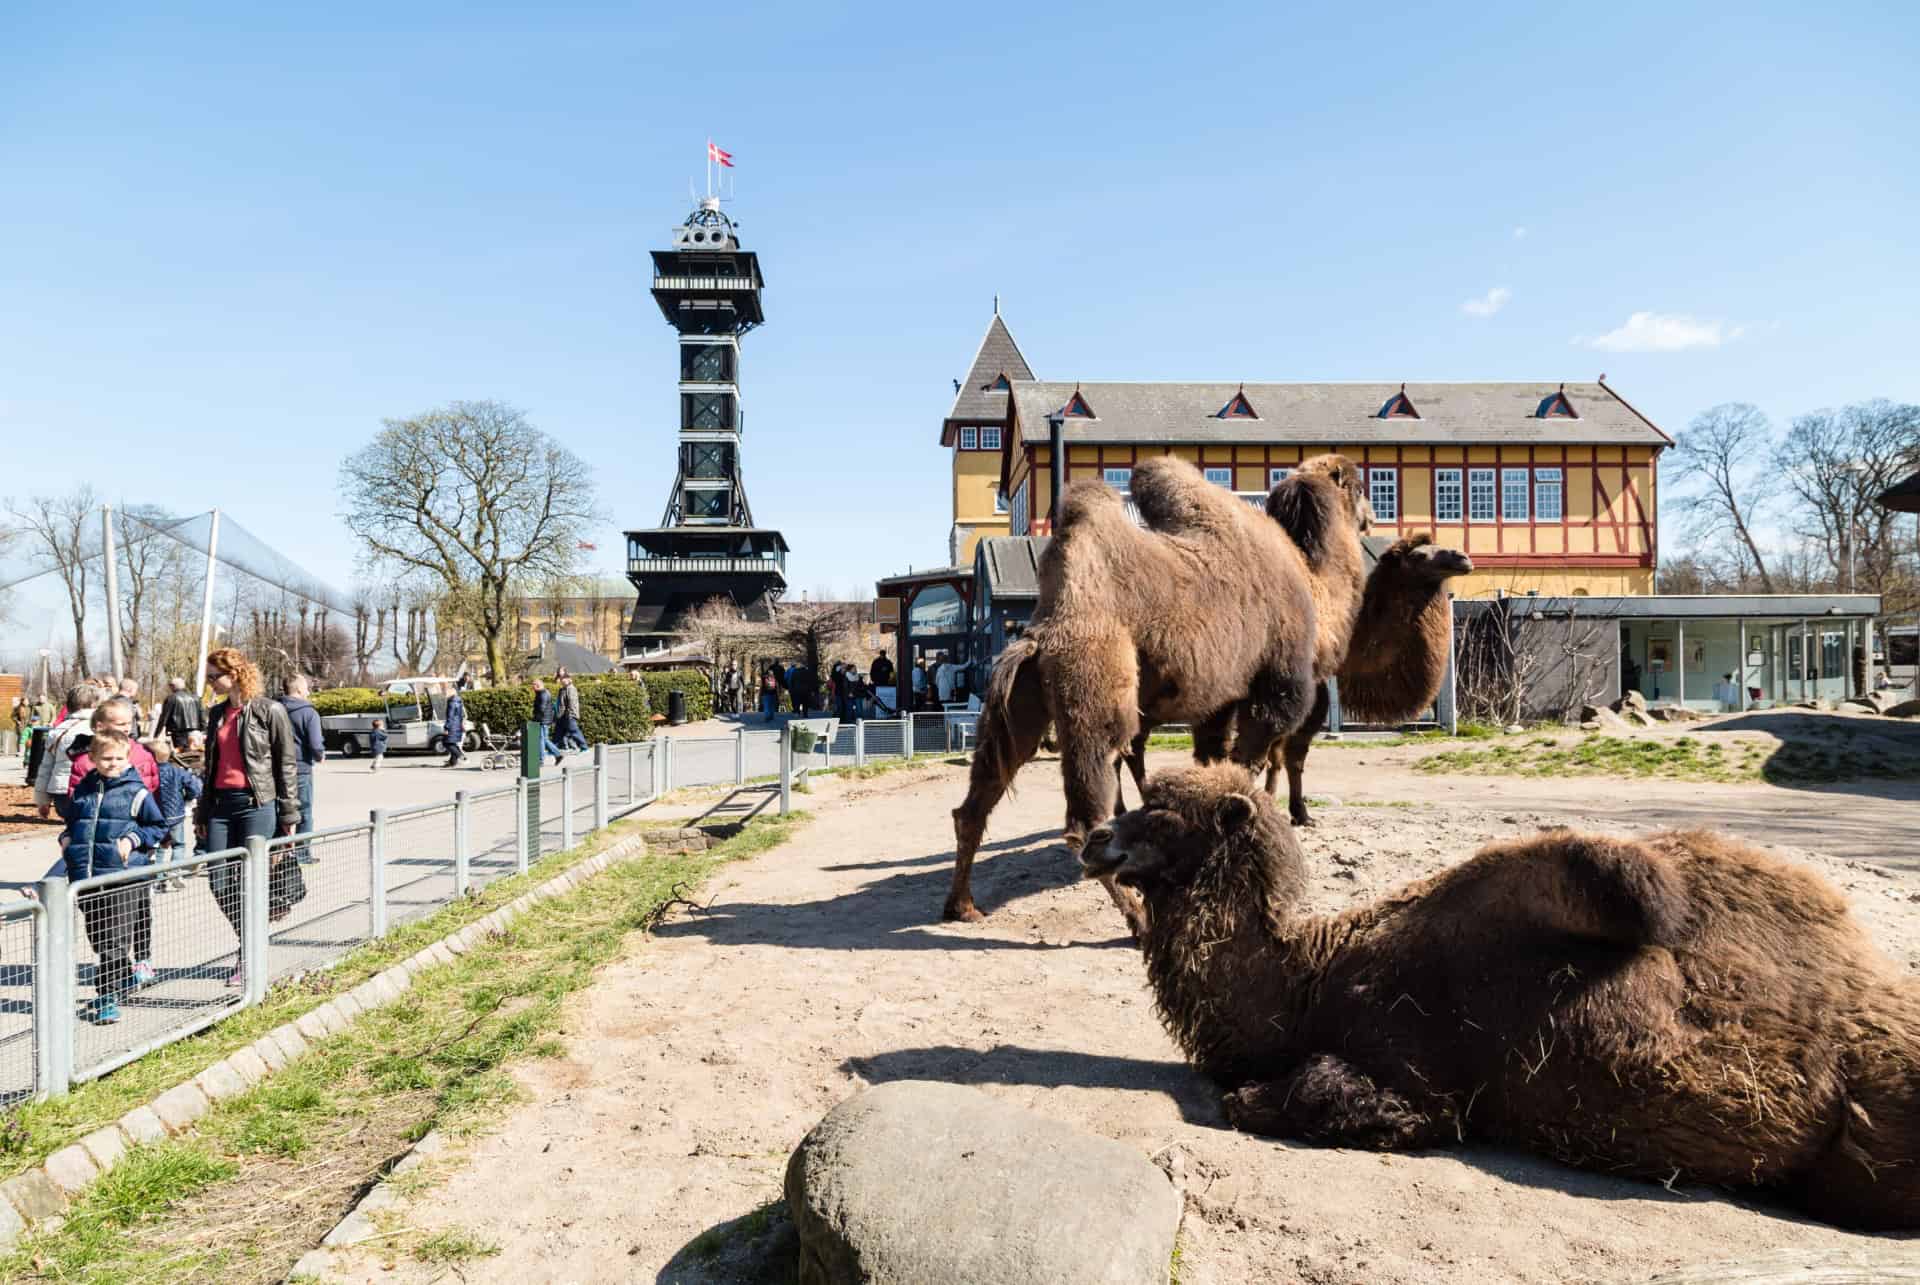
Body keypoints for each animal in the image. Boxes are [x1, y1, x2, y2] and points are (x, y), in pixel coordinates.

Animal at [940, 455, 1367, 925]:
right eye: (1359, 486)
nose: (1370, 516)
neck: (1313, 586)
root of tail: (1044, 629)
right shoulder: (1275, 690)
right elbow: (1248, 762)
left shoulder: (1219, 701)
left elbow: (1212, 760)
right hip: (1094, 689)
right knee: (1084, 822)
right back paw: (1138, 918)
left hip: (1020, 703)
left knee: (973, 805)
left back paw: (962, 906)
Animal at [1082, 760, 1920, 1229]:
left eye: (1164, 811)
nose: (1095, 838)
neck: (1314, 979)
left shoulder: (1422, 1071)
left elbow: (1314, 1096)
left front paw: (1256, 1097)